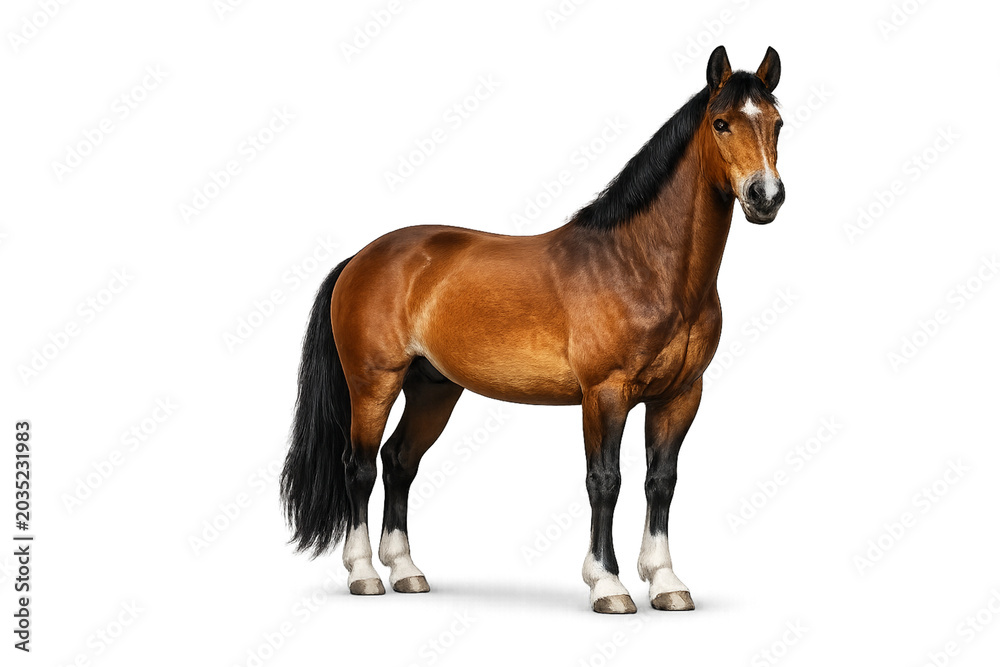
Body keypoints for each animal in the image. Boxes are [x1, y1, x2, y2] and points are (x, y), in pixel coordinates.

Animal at [281, 45, 785, 614]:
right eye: (721, 123)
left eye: (777, 123)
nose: (765, 196)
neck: (642, 265)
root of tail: (360, 258)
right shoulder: (604, 394)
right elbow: (605, 481)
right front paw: (607, 585)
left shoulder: (680, 396)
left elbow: (661, 482)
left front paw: (665, 582)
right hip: (374, 384)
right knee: (360, 467)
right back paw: (364, 573)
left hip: (433, 389)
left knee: (399, 462)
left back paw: (407, 570)